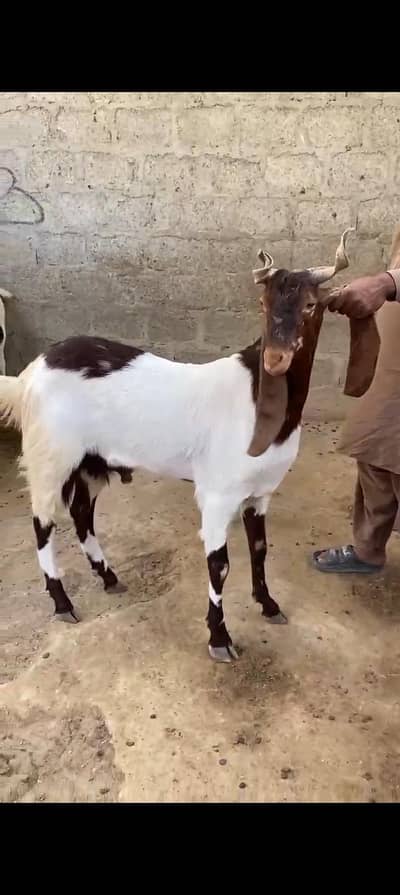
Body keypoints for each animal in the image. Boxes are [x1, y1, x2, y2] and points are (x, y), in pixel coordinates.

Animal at [0, 230, 353, 661]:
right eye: (263, 304)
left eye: (310, 305)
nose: (275, 359)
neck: (256, 396)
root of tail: (30, 374)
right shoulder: (217, 494)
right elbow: (219, 565)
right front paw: (219, 639)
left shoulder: (260, 492)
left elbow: (260, 548)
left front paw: (269, 605)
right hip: (50, 456)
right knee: (43, 522)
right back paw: (63, 602)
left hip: (92, 461)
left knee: (82, 513)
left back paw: (109, 577)